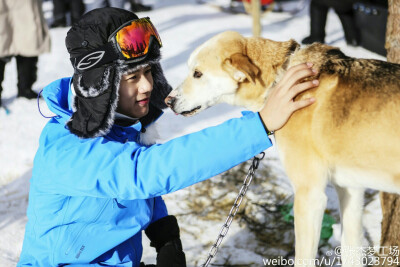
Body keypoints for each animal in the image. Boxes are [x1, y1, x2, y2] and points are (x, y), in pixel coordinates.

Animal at [164, 30, 400, 266]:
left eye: (197, 73)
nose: (168, 100)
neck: (280, 77)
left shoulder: (310, 196)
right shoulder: (351, 191)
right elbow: (351, 251)